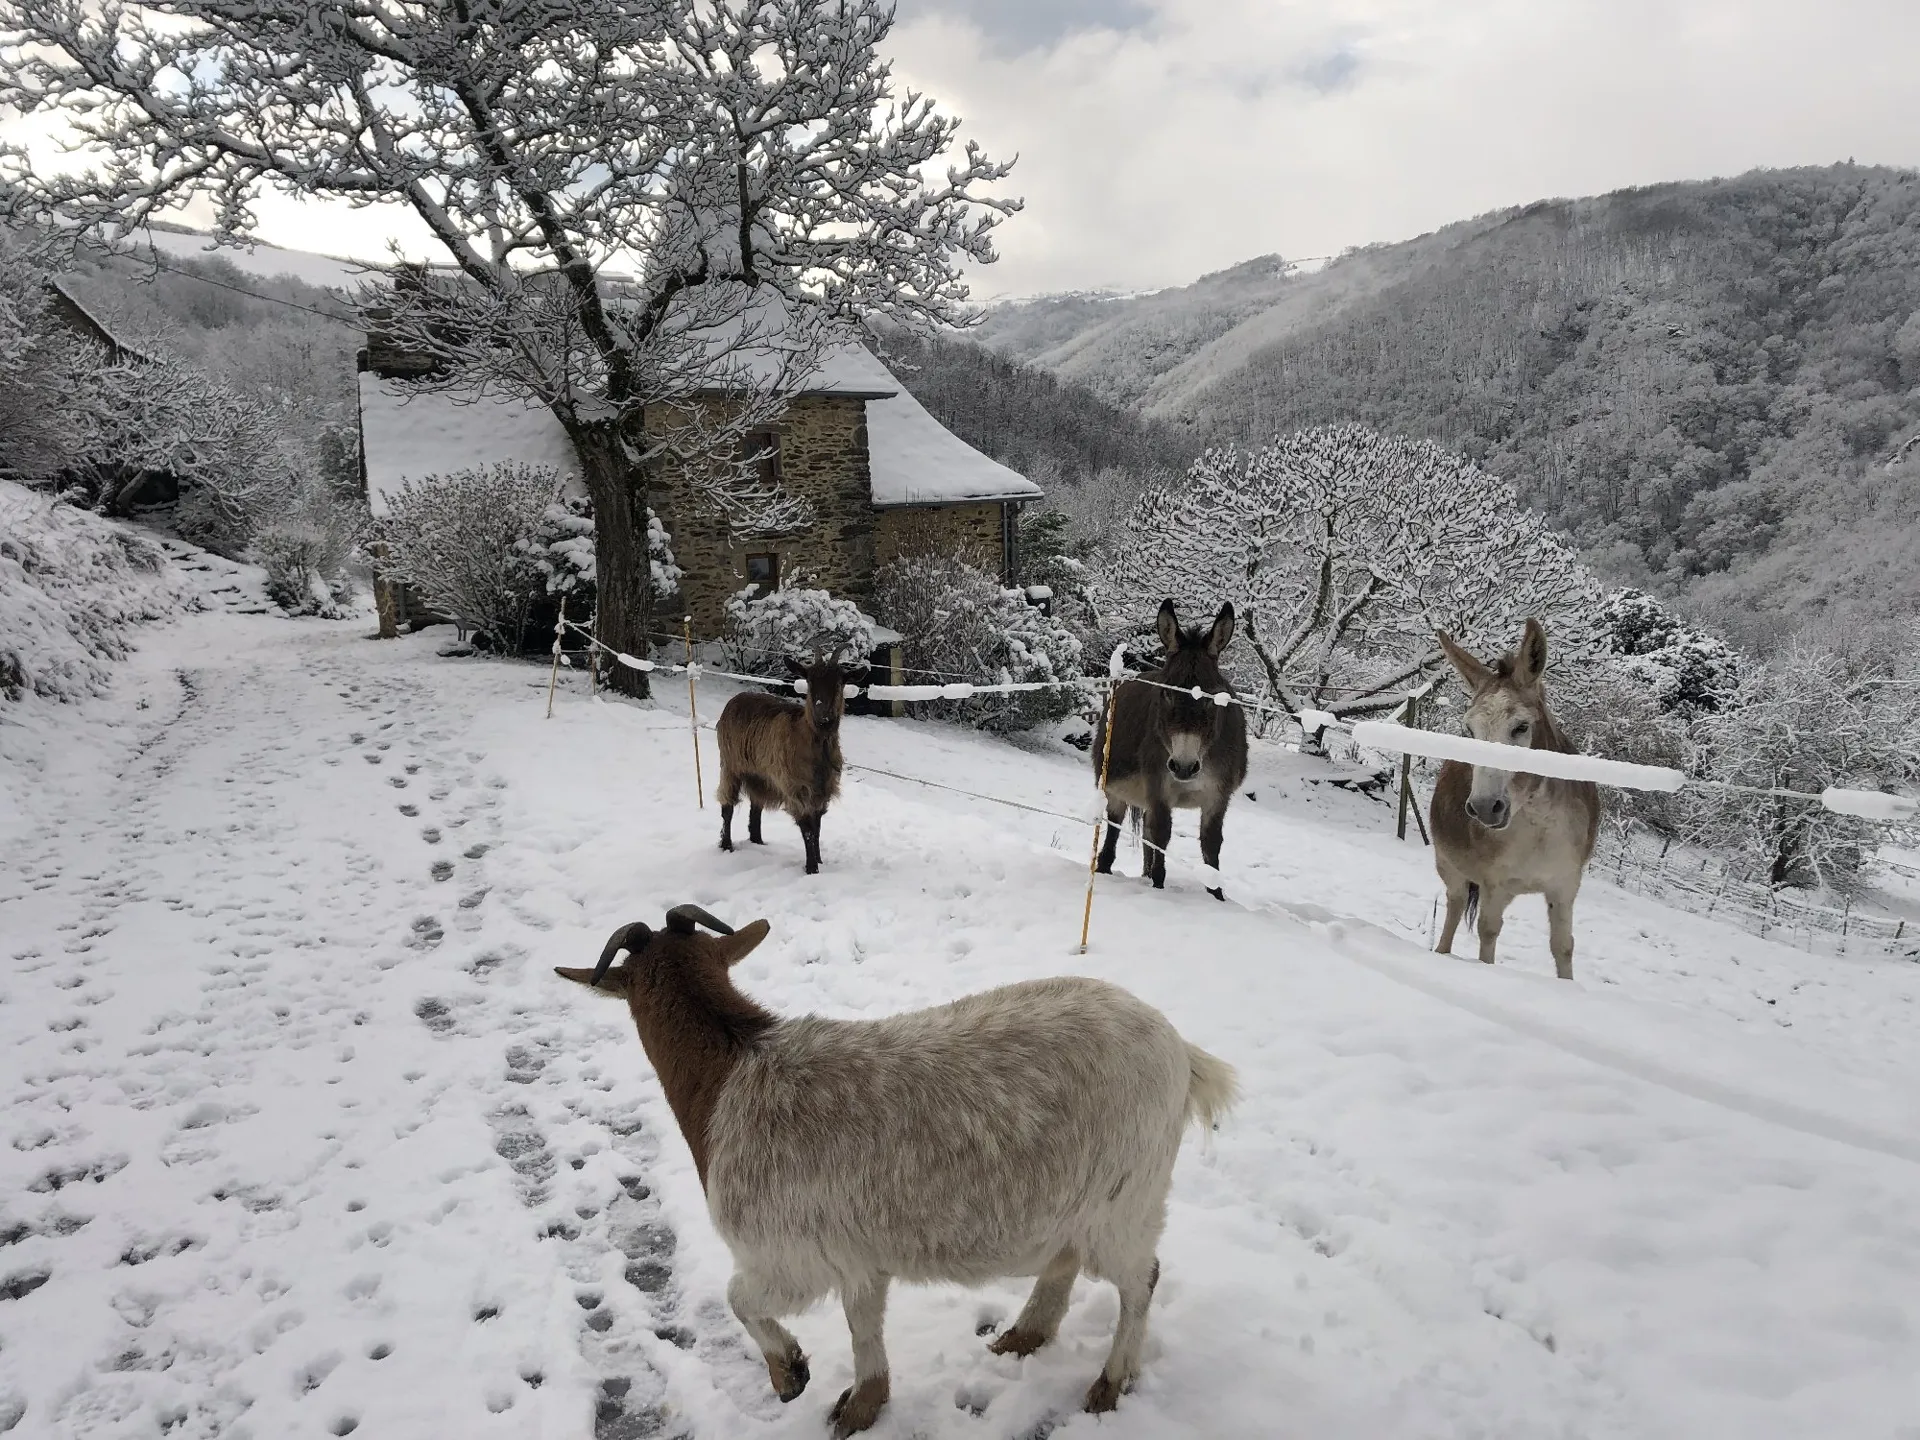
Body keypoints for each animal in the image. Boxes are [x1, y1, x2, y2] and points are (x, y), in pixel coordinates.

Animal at [560, 906, 1236, 1436]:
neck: (731, 1075)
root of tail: (1182, 1053)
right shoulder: (856, 1257)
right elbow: (863, 1326)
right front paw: (863, 1404)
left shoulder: (786, 1255)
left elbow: (738, 1297)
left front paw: (791, 1374)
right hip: (1079, 1199)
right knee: (1066, 1260)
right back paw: (1023, 1337)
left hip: (1128, 1196)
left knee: (1141, 1280)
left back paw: (1108, 1385)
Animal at [714, 652, 864, 879]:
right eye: (809, 681)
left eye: (840, 683)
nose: (823, 716)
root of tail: (735, 700)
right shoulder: (796, 787)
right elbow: (807, 829)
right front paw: (812, 869)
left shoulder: (822, 789)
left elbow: (817, 826)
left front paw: (819, 860)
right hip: (731, 765)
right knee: (727, 806)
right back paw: (727, 846)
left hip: (760, 776)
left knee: (755, 808)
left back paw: (758, 842)